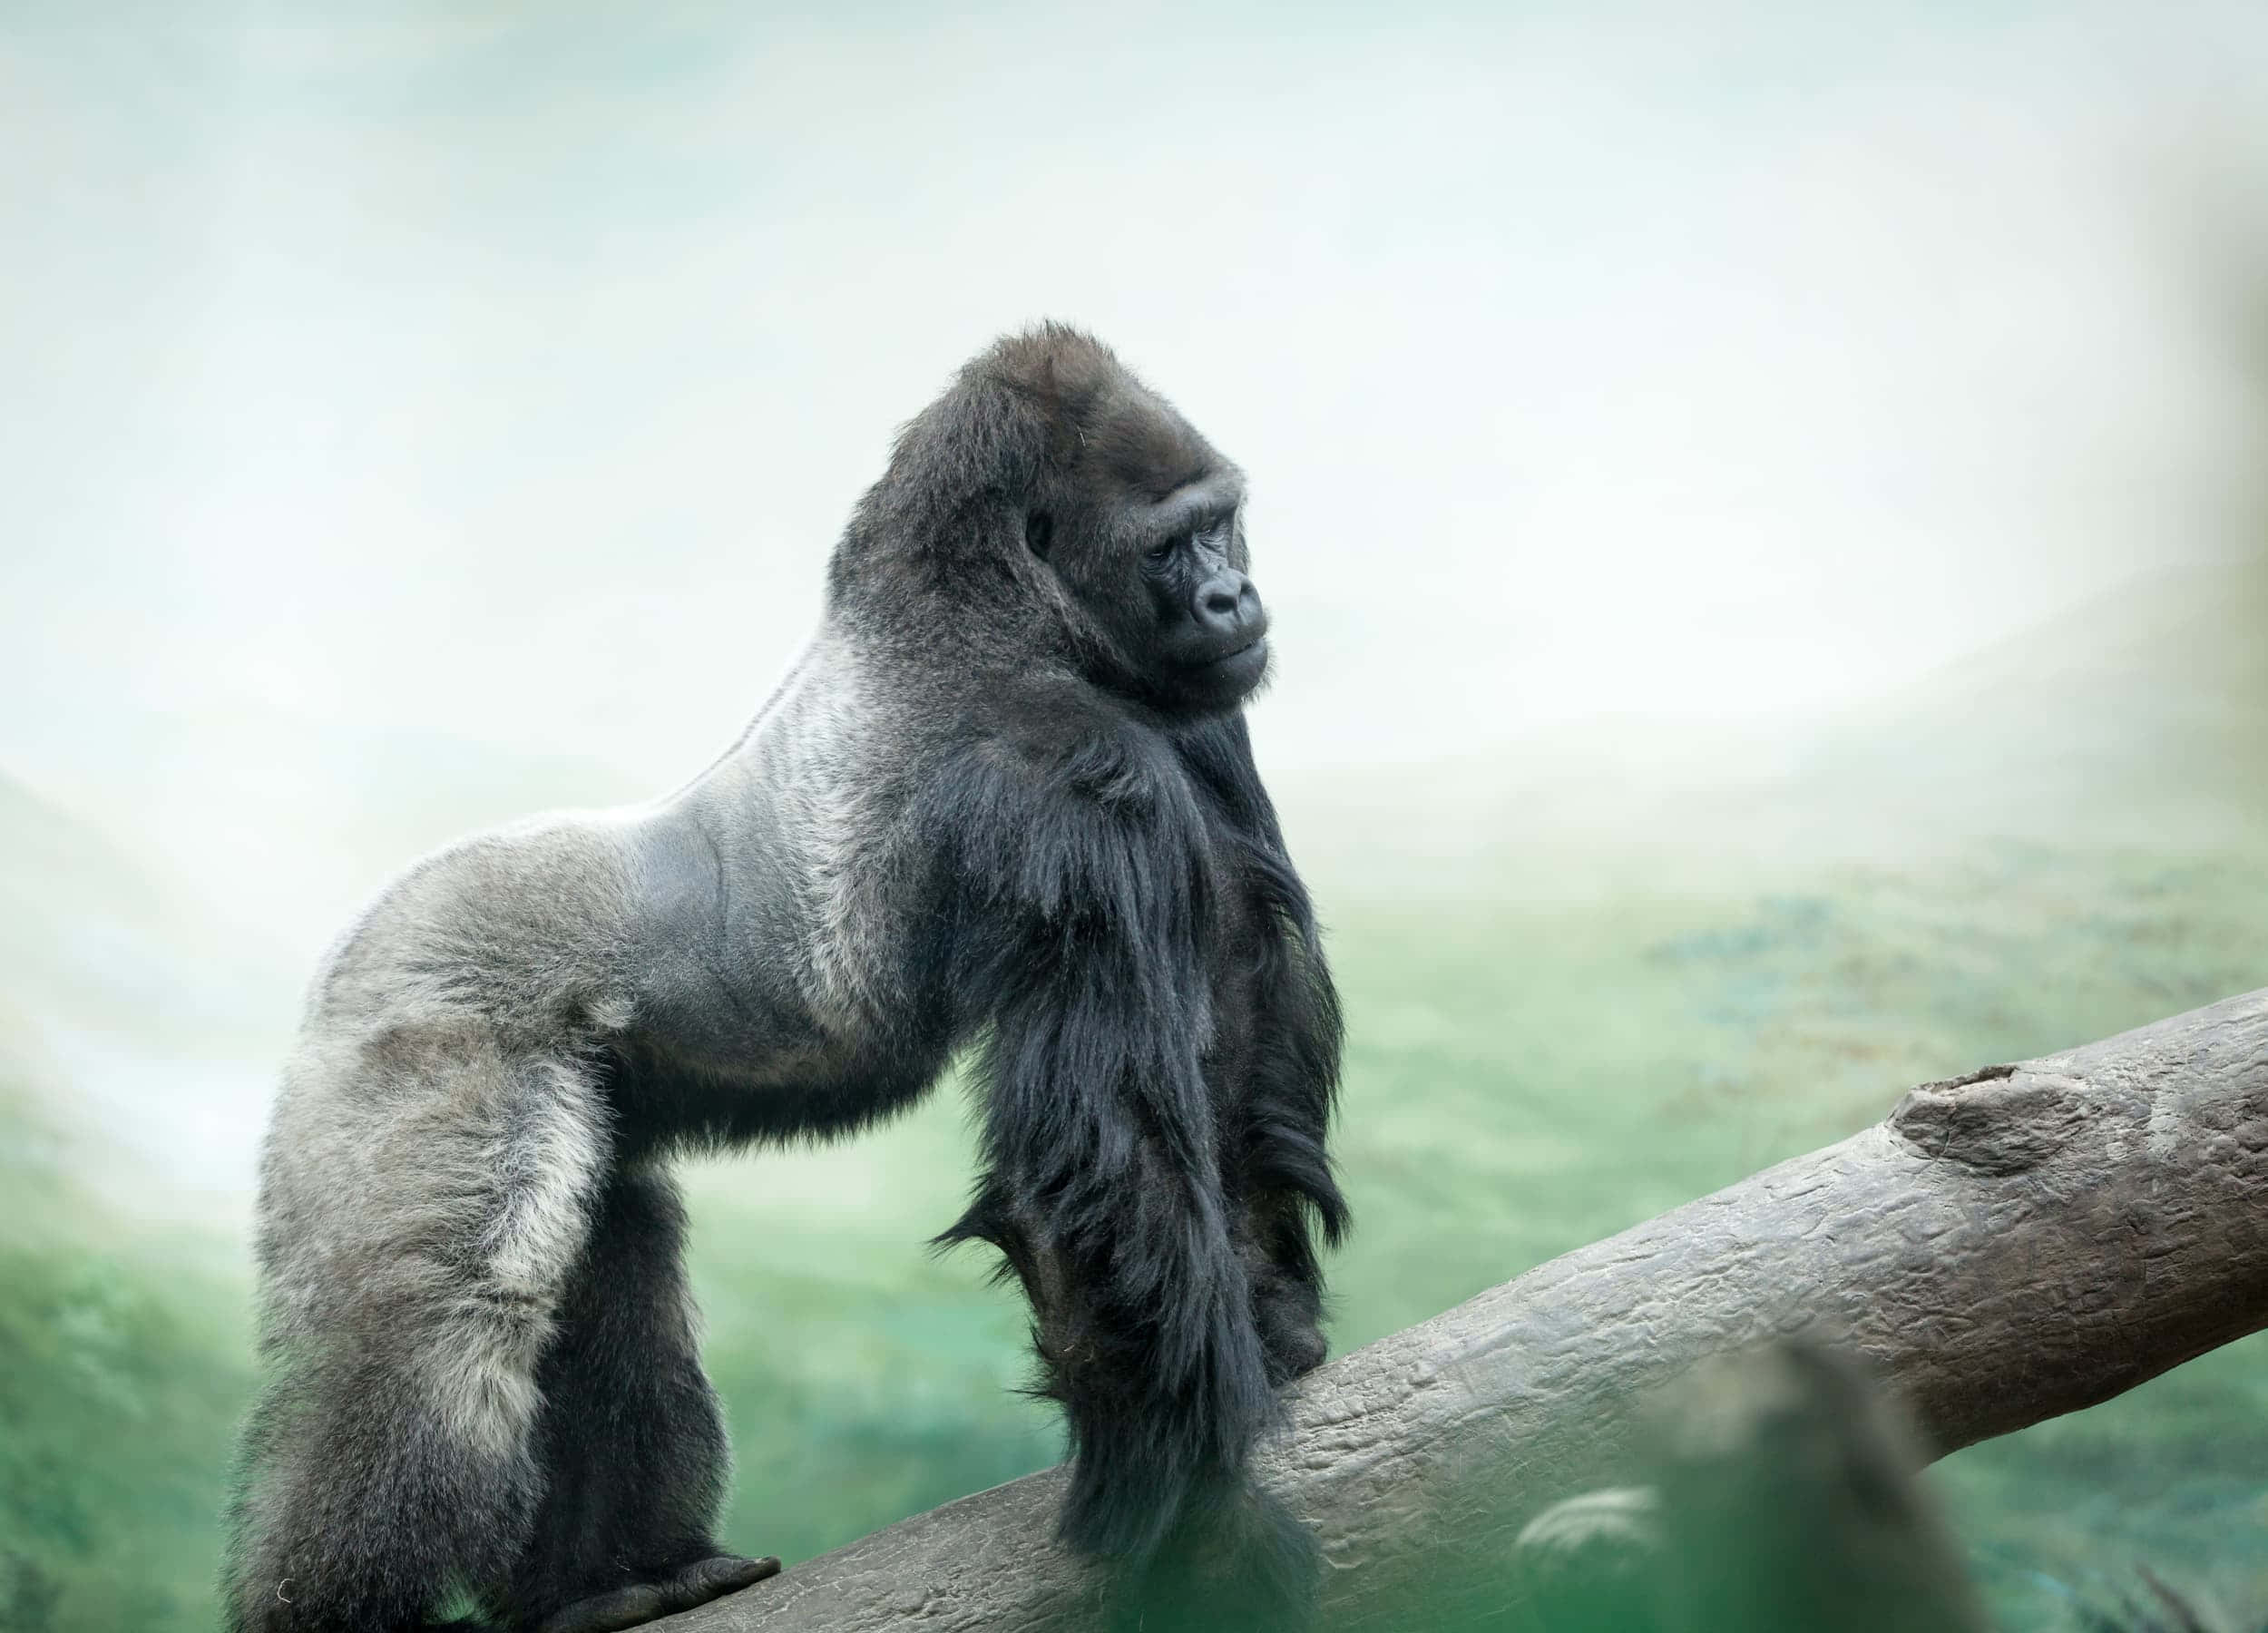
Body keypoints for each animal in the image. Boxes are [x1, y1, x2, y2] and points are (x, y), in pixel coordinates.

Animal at [221, 324, 1347, 1633]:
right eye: (1172, 544)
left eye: (1225, 524)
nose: (1234, 597)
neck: (981, 608)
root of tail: (353, 943)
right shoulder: (1064, 769)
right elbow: (1103, 1163)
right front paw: (1205, 1526)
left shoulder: (1187, 712)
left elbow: (1239, 1009)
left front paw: (1270, 1319)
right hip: (409, 1030)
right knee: (430, 1345)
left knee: (603, 1246)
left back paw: (615, 1579)